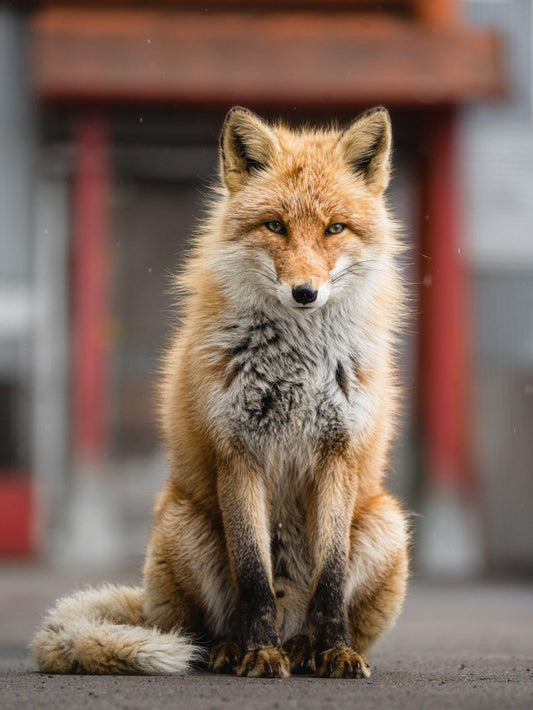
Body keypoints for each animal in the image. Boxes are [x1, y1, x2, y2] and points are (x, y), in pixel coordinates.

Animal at [32, 106, 409, 679]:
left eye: (335, 228)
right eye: (275, 226)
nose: (305, 293)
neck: (297, 365)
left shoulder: (339, 453)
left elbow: (331, 579)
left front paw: (337, 652)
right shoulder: (236, 450)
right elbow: (253, 576)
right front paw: (258, 653)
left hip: (388, 523)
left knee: (313, 609)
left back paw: (306, 649)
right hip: (182, 525)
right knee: (201, 630)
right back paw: (235, 649)